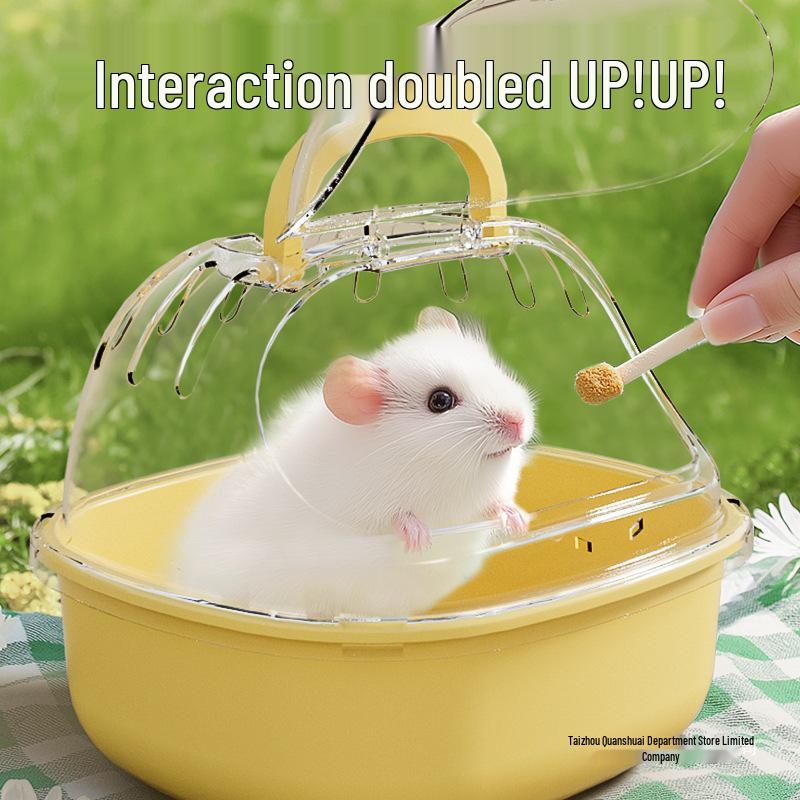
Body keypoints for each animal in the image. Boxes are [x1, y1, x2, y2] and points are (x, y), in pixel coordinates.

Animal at [174, 306, 536, 619]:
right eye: (441, 400)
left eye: (496, 370)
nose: (519, 422)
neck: (451, 470)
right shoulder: (367, 508)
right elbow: (396, 516)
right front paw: (419, 541)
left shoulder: (487, 497)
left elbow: (497, 504)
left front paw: (519, 522)